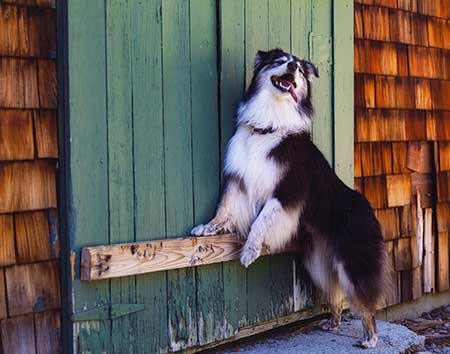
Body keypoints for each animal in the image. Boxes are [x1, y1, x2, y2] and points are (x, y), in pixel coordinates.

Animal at [192, 48, 388, 350]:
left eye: (298, 68)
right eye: (280, 61)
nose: (294, 67)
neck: (268, 125)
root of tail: (368, 207)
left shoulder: (286, 192)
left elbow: (261, 220)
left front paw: (250, 251)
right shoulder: (238, 178)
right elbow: (224, 207)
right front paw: (209, 227)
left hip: (353, 262)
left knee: (364, 300)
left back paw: (370, 338)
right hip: (320, 265)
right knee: (335, 293)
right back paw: (332, 322)